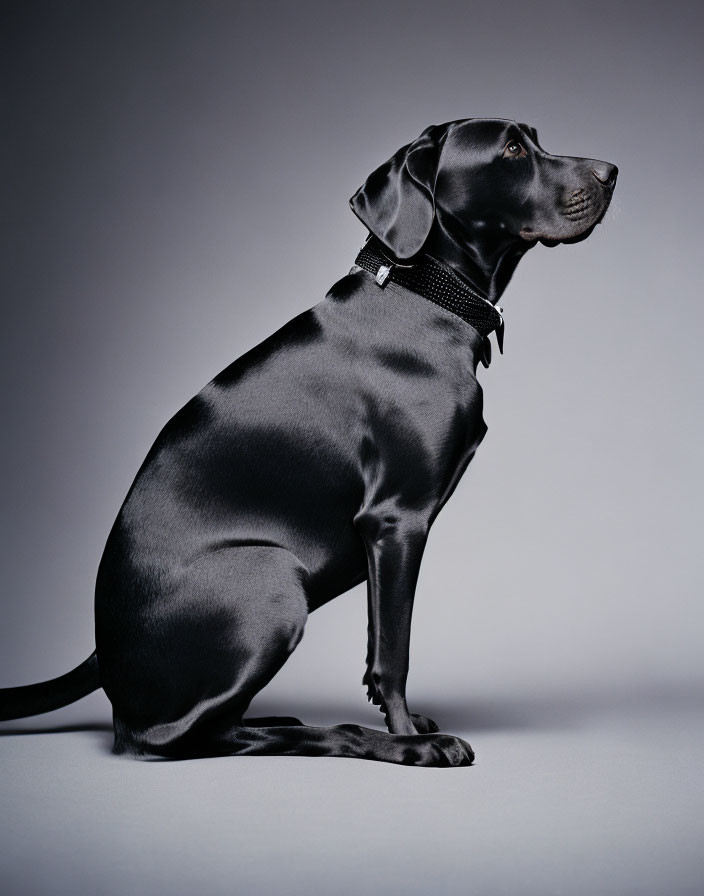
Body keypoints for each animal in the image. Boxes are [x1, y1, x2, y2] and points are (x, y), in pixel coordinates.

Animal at [0, 117, 616, 764]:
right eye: (513, 150)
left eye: (535, 138)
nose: (612, 173)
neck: (422, 294)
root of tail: (104, 654)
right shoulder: (395, 521)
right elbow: (392, 653)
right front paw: (409, 740)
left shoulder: (388, 533)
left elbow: (377, 649)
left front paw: (403, 727)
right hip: (271, 581)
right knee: (177, 738)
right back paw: (349, 737)